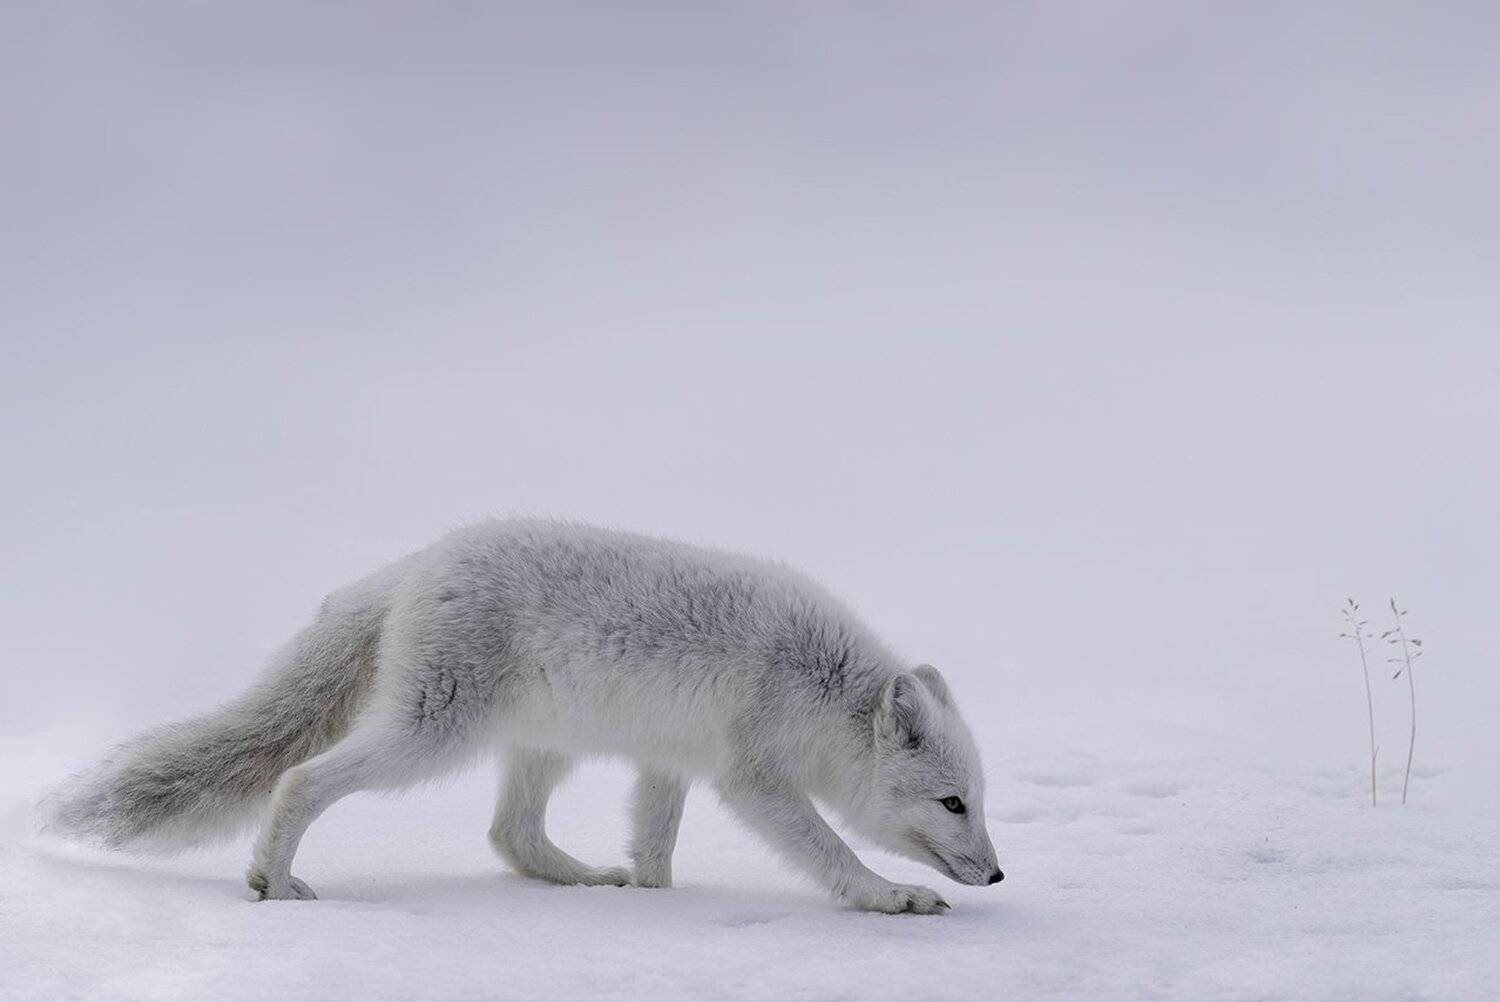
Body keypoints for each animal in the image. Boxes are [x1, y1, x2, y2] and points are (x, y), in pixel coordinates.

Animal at [40, 520, 1003, 914]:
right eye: (953, 803)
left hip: (542, 748)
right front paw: (889, 897)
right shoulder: (752, 780)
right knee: (300, 780)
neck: (820, 685)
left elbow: (656, 855)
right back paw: (273, 885)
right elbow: (833, 853)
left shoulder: (670, 764)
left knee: (511, 836)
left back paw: (586, 882)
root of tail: (416, 563)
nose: (995, 876)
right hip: (427, 739)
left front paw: (654, 902)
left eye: (981, 802)